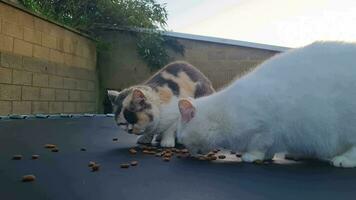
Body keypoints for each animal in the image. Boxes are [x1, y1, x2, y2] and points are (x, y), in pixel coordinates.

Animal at [178, 41, 356, 167]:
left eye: (181, 138)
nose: (187, 150)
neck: (222, 115)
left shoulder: (264, 128)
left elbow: (259, 145)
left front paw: (251, 156)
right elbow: (269, 149)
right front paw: (267, 157)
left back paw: (342, 160)